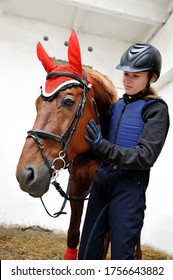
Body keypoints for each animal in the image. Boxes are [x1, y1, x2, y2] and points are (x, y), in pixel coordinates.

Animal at [15, 29, 141, 260]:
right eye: (37, 103)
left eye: (68, 101)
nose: (25, 174)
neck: (94, 152)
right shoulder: (77, 188)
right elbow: (74, 235)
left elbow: (102, 245)